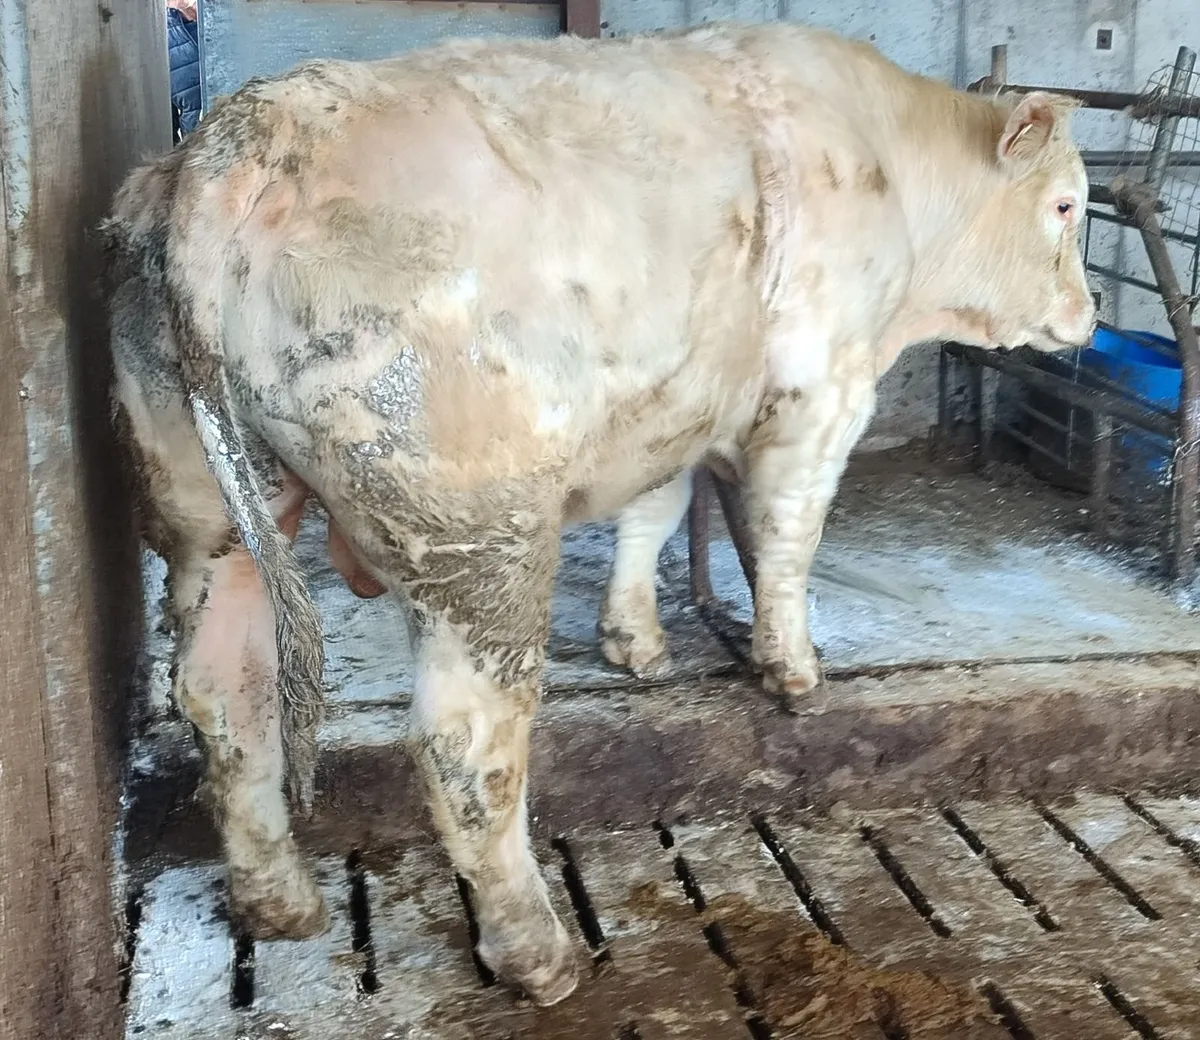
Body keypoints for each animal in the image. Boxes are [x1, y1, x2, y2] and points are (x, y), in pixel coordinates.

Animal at [102, 21, 1095, 1006]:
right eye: (1067, 208)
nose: (1086, 317)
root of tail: (262, 120)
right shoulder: (821, 390)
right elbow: (788, 534)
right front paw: (793, 668)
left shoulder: (669, 405)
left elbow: (655, 510)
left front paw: (634, 639)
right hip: (476, 535)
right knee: (463, 739)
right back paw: (537, 952)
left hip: (207, 507)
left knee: (226, 688)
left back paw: (279, 900)